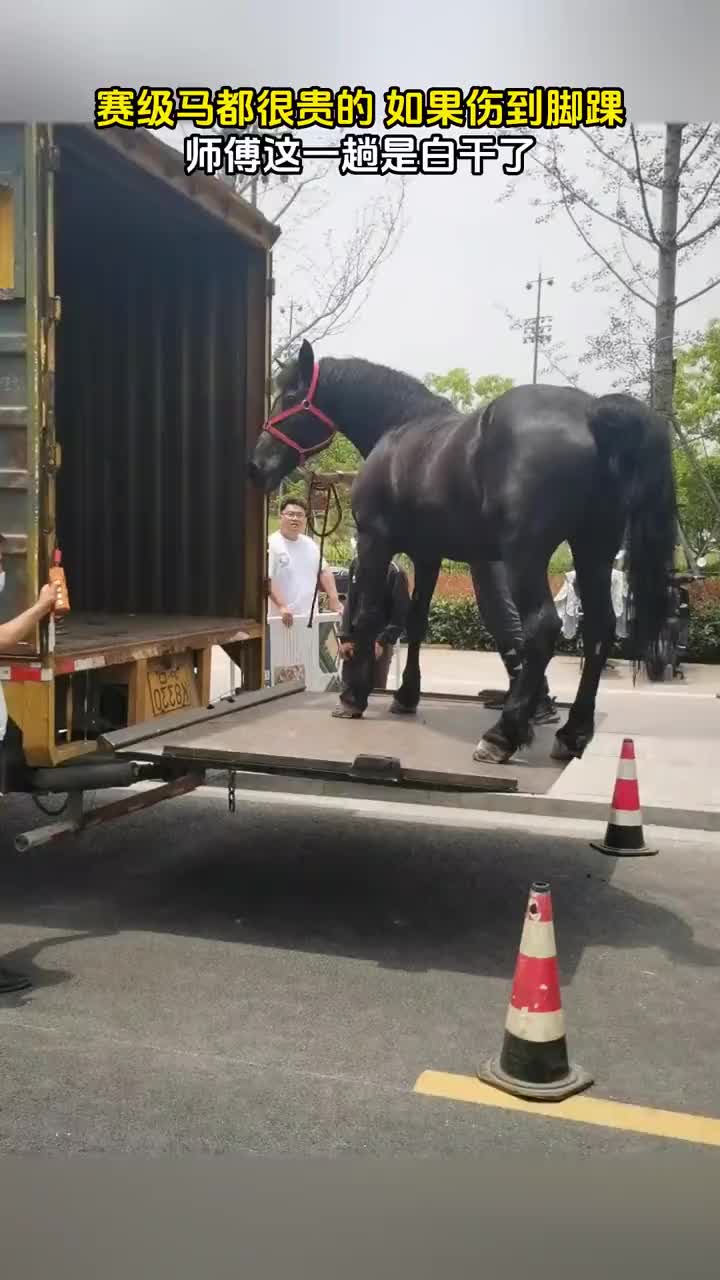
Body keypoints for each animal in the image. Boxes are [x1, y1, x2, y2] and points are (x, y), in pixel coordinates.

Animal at [248, 339, 677, 766]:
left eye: (291, 396)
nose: (256, 466)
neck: (399, 428)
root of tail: (590, 413)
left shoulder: (375, 541)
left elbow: (368, 614)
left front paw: (353, 698)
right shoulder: (427, 555)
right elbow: (416, 620)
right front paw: (406, 696)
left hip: (526, 554)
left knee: (542, 628)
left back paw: (502, 735)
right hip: (593, 550)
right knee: (600, 628)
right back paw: (572, 733)